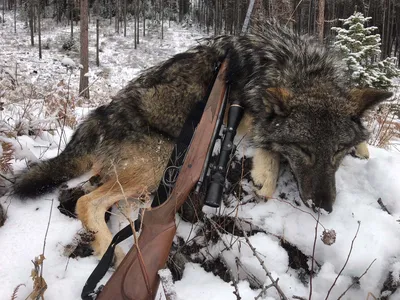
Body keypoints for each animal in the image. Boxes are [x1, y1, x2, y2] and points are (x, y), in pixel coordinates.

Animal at [11, 23, 390, 264]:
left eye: (337, 152)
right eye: (304, 151)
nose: (323, 207)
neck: (296, 67)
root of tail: (99, 117)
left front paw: (363, 147)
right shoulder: (247, 113)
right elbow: (265, 143)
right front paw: (266, 173)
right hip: (159, 160)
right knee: (86, 204)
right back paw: (114, 255)